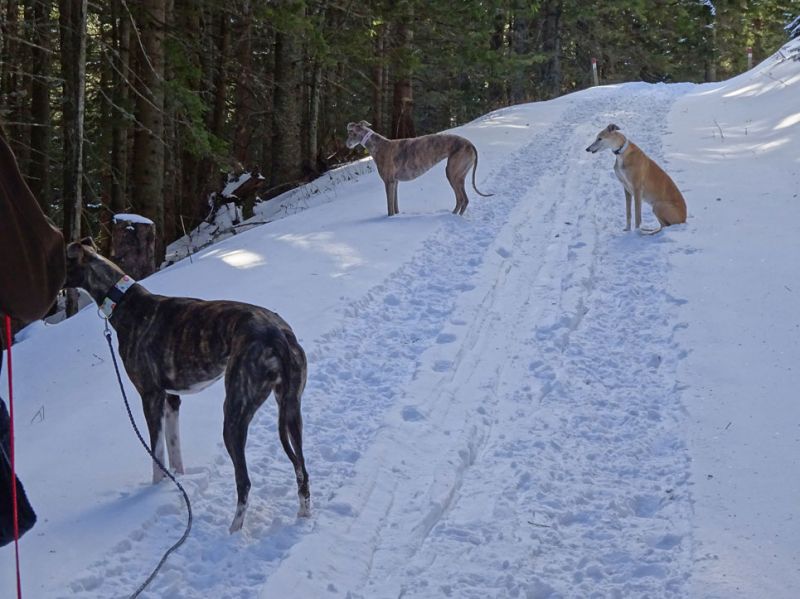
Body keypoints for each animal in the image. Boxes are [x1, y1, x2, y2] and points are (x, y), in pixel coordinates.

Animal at [65, 240, 310, 536]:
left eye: (59, 260)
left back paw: (233, 530)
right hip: (291, 409)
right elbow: (175, 451)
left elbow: (157, 456)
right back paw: (303, 515)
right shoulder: (172, 400)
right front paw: (177, 485)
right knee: (302, 468)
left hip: (235, 413)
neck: (125, 302)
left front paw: (154, 491)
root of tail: (277, 336)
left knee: (245, 481)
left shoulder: (151, 396)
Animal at [346, 120, 494, 217]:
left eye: (351, 132)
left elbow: (389, 209)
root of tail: (470, 144)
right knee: (462, 199)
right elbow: (395, 206)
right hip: (458, 174)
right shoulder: (395, 182)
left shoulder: (388, 182)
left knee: (462, 199)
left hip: (453, 173)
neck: (379, 145)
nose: (346, 144)